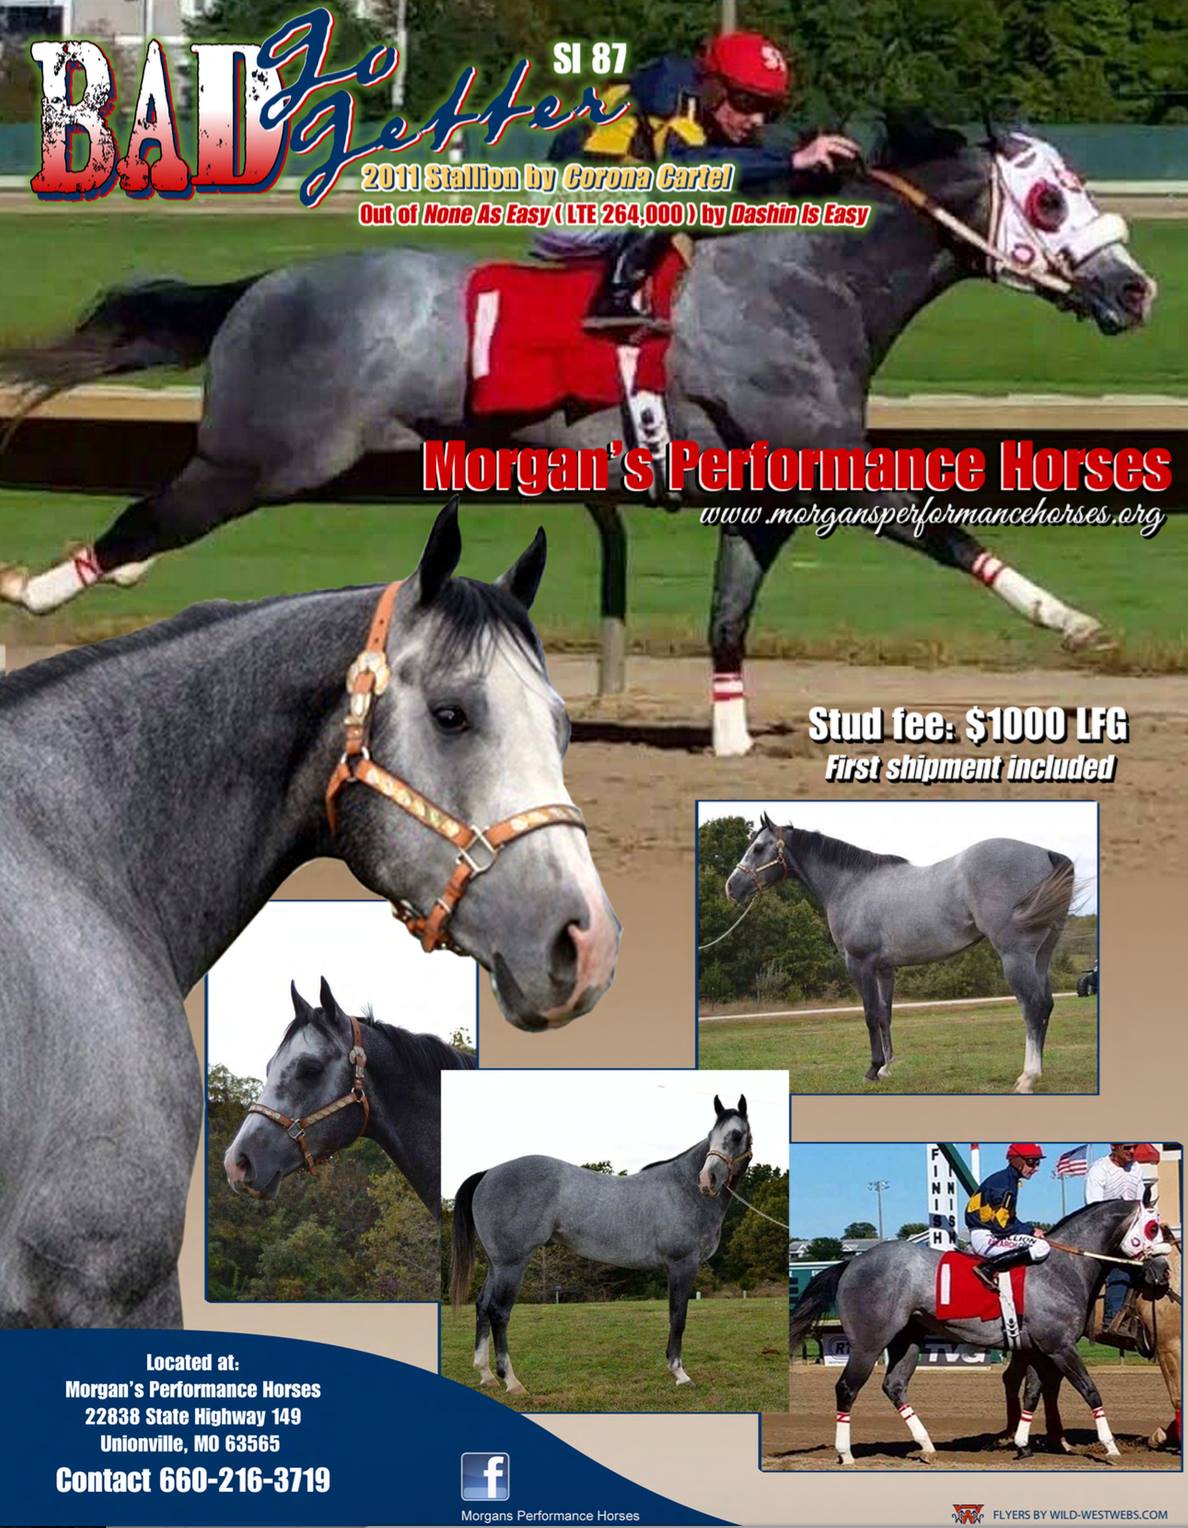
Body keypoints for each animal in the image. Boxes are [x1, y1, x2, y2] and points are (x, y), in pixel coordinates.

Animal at [0, 122, 1154, 755]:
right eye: (1050, 199)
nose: (1138, 291)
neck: (805, 280)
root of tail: (260, 288)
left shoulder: (766, 491)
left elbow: (730, 611)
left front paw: (730, 734)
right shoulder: (829, 464)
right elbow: (943, 529)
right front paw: (1073, 621)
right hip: (264, 456)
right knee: (148, 517)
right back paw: (38, 590)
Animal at [449, 1095, 753, 1393]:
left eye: (736, 1135)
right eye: (711, 1136)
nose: (707, 1179)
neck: (683, 1189)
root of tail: (489, 1173)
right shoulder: (682, 1264)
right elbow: (678, 1318)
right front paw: (680, 1373)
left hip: (496, 1264)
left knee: (482, 1305)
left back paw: (486, 1374)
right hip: (511, 1263)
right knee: (498, 1312)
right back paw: (511, 1381)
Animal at [726, 815, 1075, 1092]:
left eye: (758, 848)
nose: (732, 887)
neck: (852, 886)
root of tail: (1045, 853)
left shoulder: (860, 964)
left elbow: (870, 1015)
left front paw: (872, 1069)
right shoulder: (885, 969)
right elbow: (885, 1014)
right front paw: (886, 1067)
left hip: (1015, 955)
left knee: (1032, 1006)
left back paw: (1028, 1077)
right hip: (1041, 955)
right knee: (1046, 1005)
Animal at [788, 1199, 1170, 1465]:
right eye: (1153, 1228)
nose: (1164, 1272)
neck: (1061, 1268)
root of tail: (852, 1262)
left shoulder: (1036, 1349)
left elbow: (1031, 1393)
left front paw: (1022, 1445)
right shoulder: (1059, 1347)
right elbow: (1091, 1391)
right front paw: (1110, 1446)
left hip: (906, 1340)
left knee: (894, 1386)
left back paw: (927, 1446)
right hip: (868, 1344)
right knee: (846, 1388)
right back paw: (846, 1453)